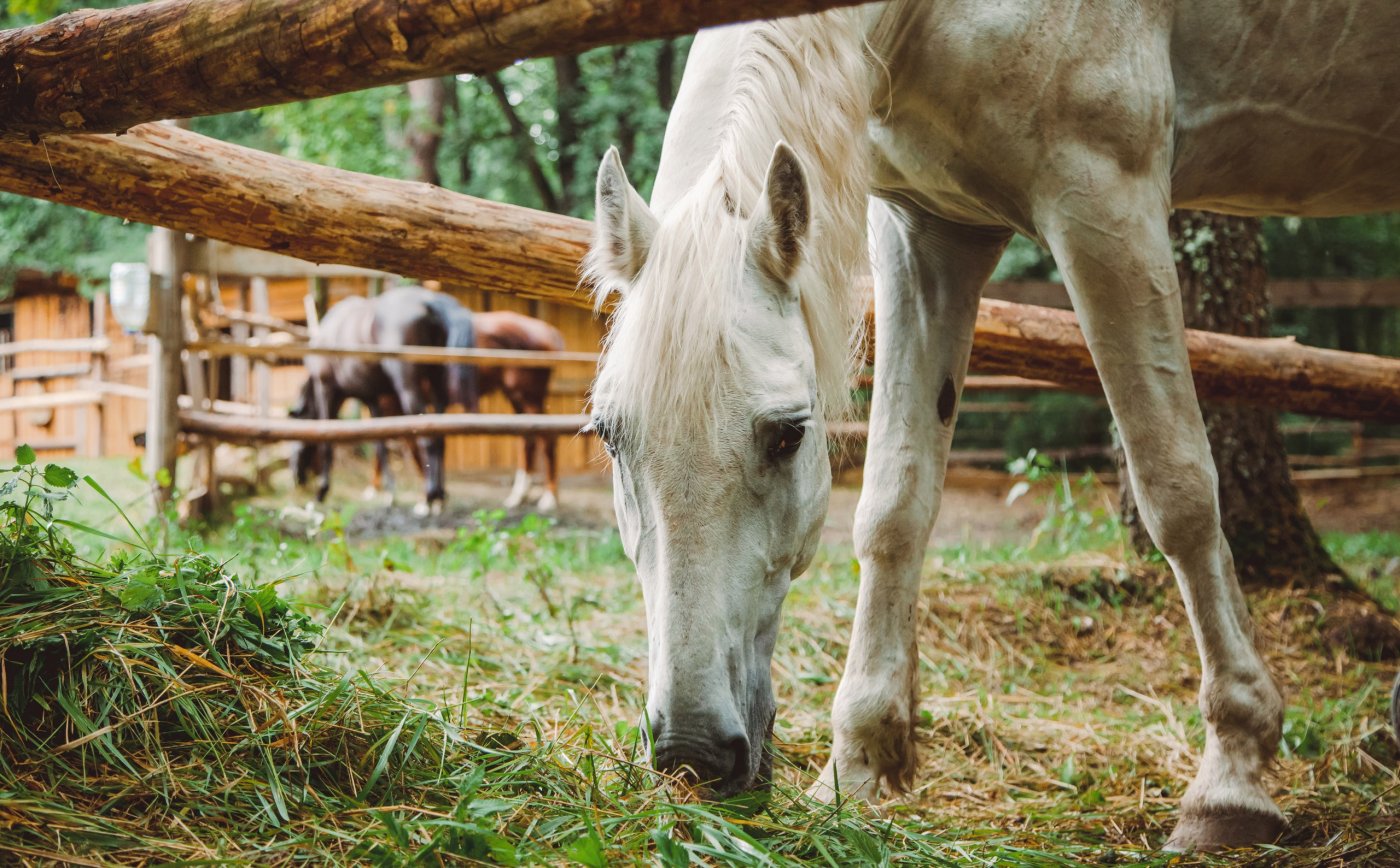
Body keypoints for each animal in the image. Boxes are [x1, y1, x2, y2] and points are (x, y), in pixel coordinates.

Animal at [582, 0, 1400, 851]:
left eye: (787, 434)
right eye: (609, 436)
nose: (691, 753)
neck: (920, 21)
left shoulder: (1107, 199)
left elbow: (1176, 488)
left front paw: (1230, 779)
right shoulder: (929, 231)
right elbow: (894, 508)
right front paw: (859, 765)